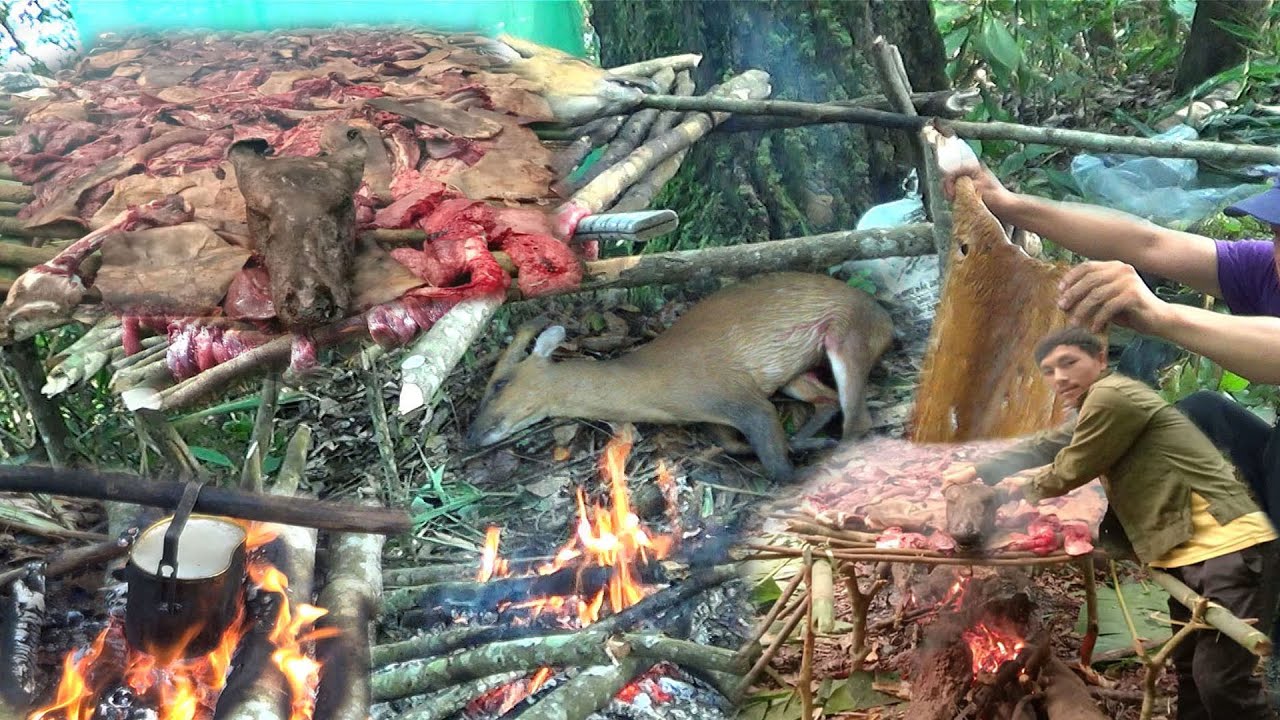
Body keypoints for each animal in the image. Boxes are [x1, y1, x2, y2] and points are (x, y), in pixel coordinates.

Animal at [463, 272, 896, 482]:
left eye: (499, 383)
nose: (471, 436)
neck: (661, 386)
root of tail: (886, 319)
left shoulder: (740, 397)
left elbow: (777, 469)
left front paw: (799, 466)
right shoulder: (718, 413)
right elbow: (732, 445)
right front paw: (798, 445)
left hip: (846, 335)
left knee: (859, 420)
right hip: (795, 372)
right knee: (828, 401)